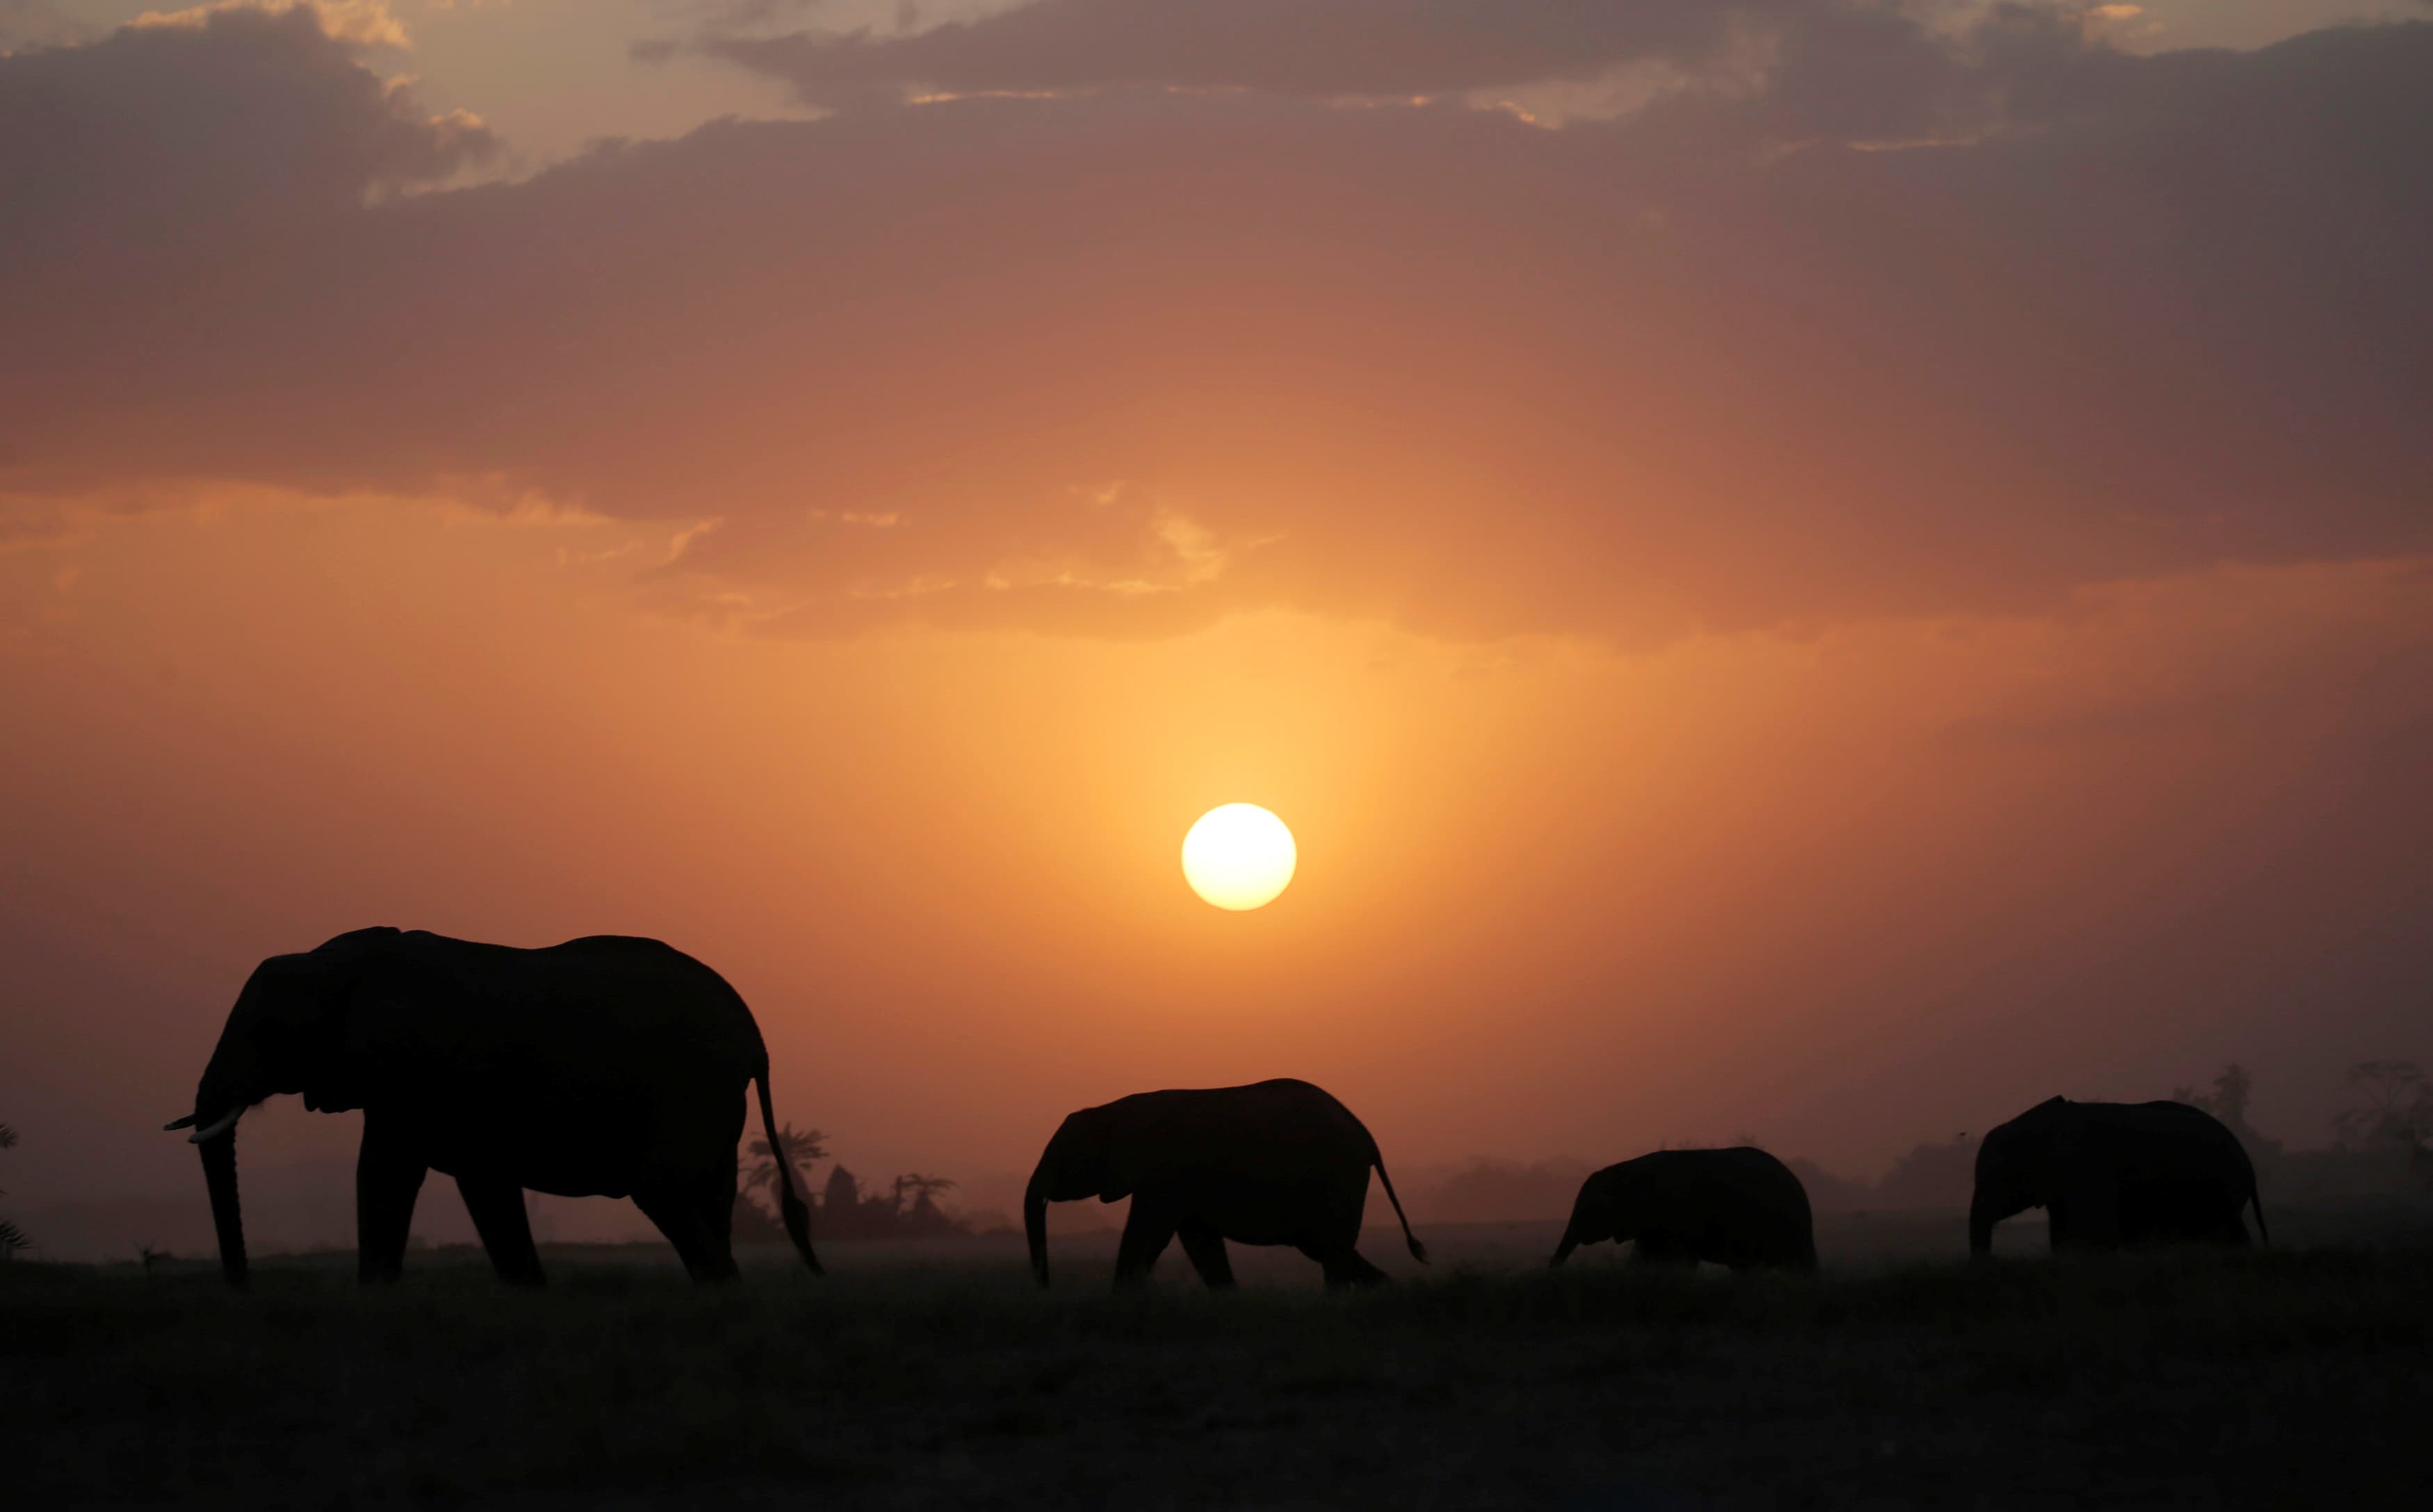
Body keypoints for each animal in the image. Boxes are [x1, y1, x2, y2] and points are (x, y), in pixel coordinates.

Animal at [163, 927, 821, 1288]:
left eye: (264, 1031)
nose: (242, 1289)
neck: (339, 956)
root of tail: (753, 1034)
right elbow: (432, 1178)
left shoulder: (413, 1067)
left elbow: (398, 1173)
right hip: (714, 1106)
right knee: (709, 1202)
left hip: (686, 1090)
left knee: (668, 1192)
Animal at [1025, 1078, 1428, 1290]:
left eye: (1061, 1157)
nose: (1046, 1287)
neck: (1114, 1109)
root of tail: (1367, 1135)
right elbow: (1199, 1241)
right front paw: (1229, 1298)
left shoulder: (1165, 1175)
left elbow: (1147, 1233)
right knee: (1328, 1247)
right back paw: (1388, 1292)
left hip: (1339, 1179)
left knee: (1332, 1249)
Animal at [1548, 1147, 1817, 1271]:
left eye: (1592, 1209)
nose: (1550, 1273)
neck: (1629, 1169)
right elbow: (1640, 1260)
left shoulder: (1678, 1217)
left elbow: (1683, 1260)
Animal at [1969, 1096, 2267, 1256]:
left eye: (1996, 1179)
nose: (1990, 1262)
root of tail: (2249, 1162)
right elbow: (2062, 1233)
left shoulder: (2087, 1169)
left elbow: (2093, 1235)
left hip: (2220, 1187)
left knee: (2221, 1232)